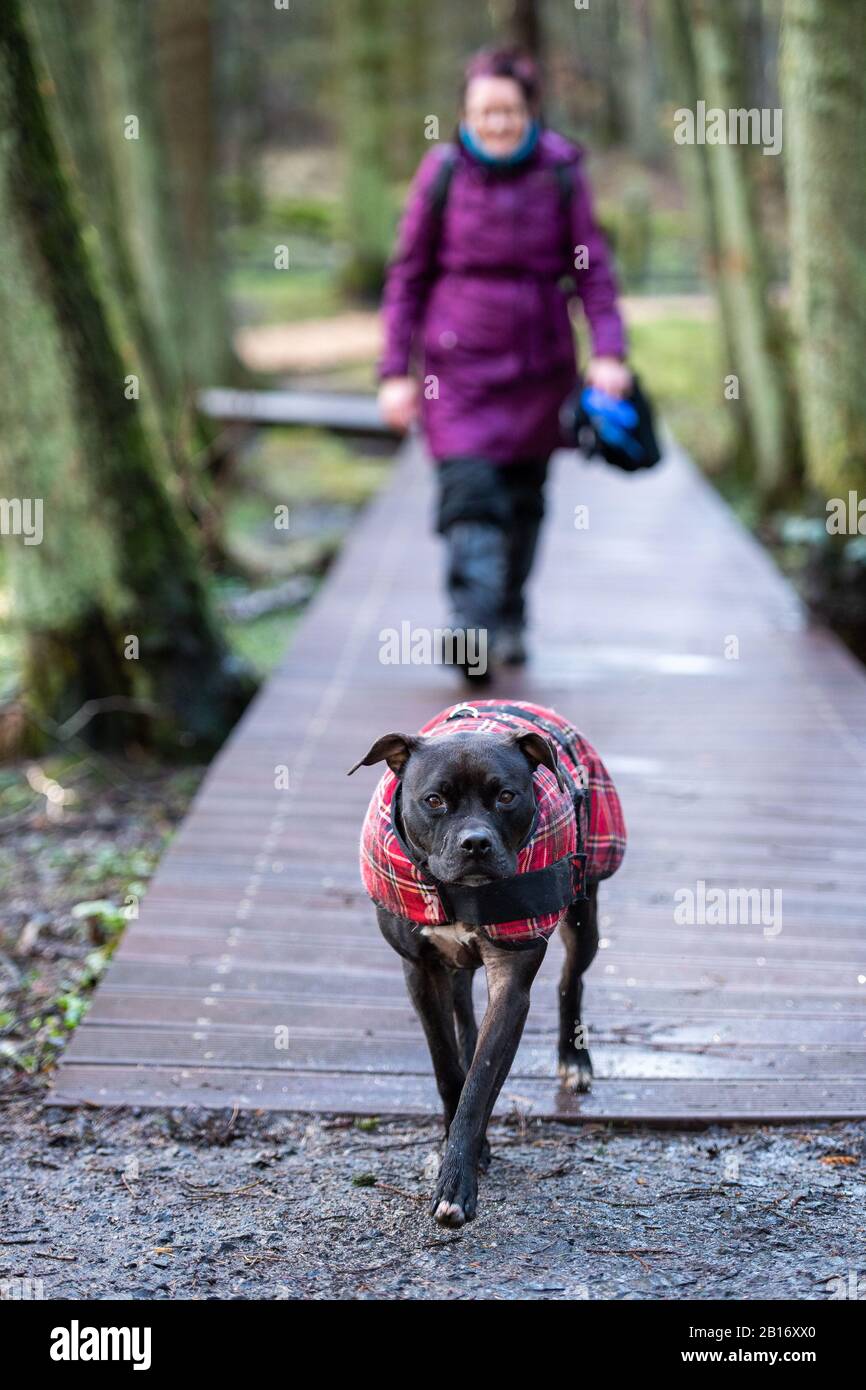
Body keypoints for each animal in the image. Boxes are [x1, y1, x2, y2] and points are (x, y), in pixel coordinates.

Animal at [348, 706, 625, 1228]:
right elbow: (446, 1066)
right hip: (453, 968)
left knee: (570, 979)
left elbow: (480, 1084)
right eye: (434, 800)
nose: (475, 843)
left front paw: (458, 1180)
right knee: (463, 1010)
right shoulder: (420, 971)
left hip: (585, 913)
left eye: (506, 795)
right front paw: (458, 1146)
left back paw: (573, 1059)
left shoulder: (511, 983)